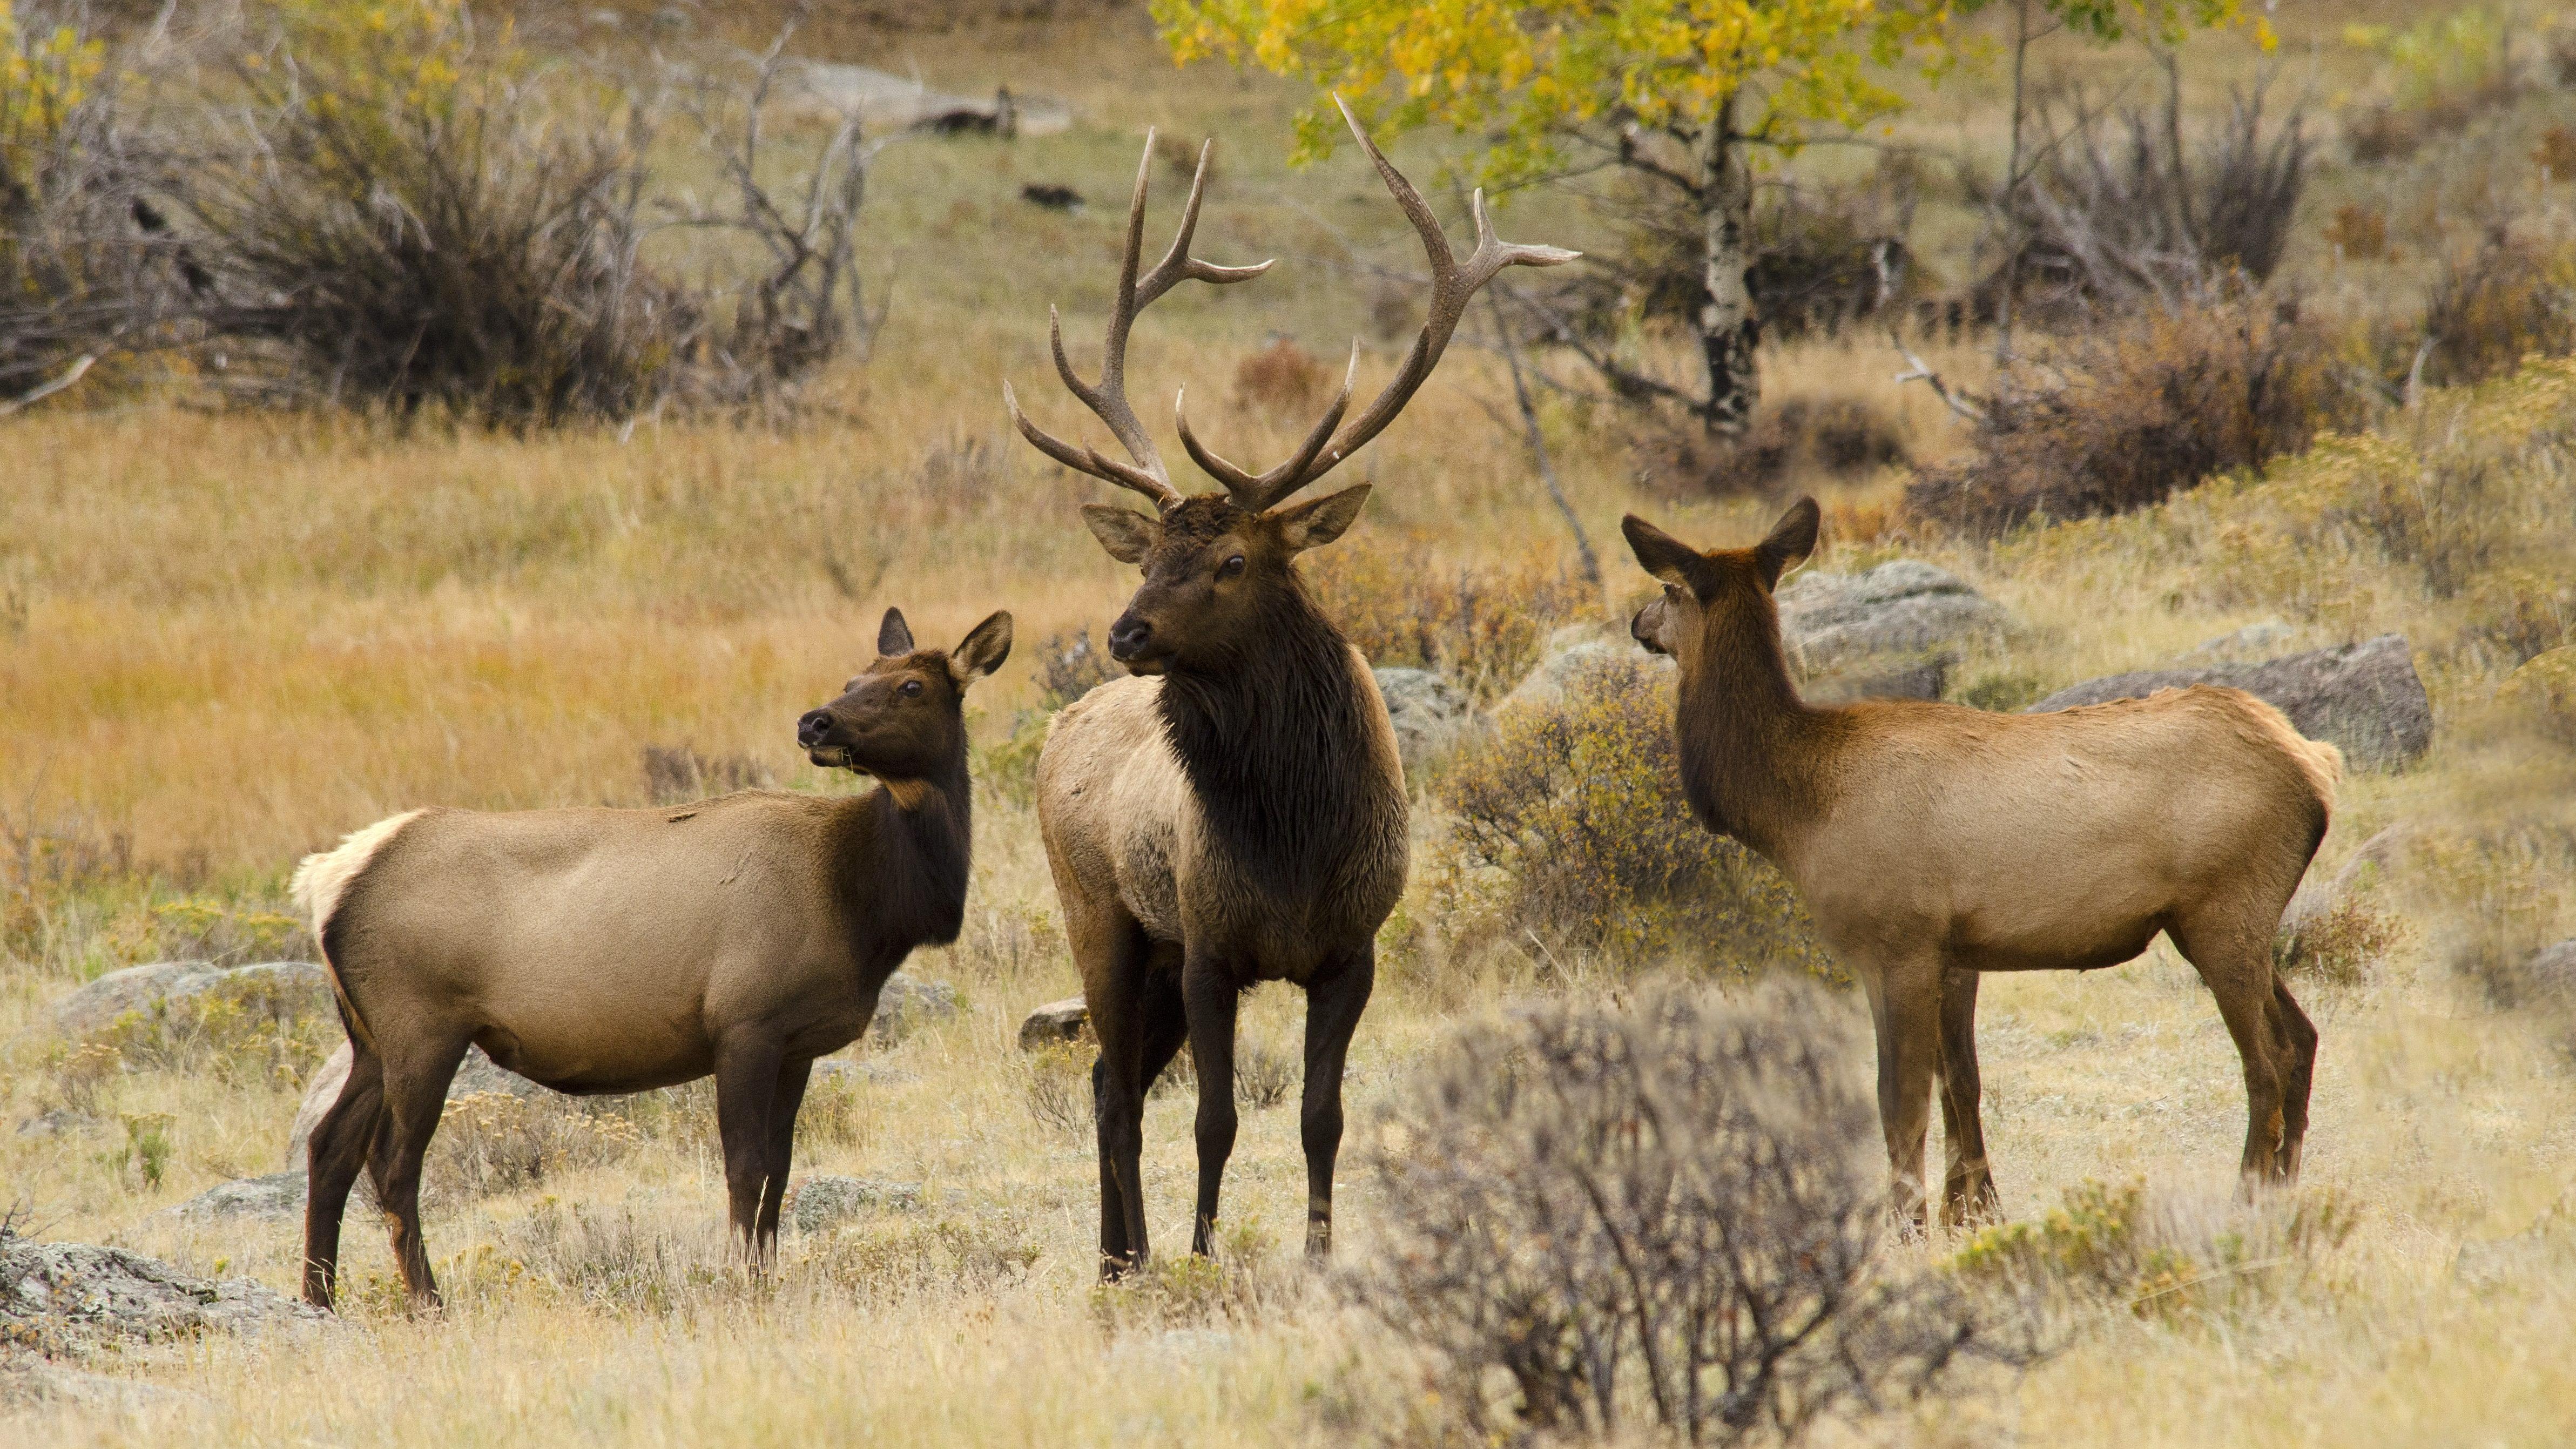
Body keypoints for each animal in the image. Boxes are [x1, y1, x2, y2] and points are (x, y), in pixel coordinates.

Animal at [288, 607, 1011, 1310]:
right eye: (855, 677)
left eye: (909, 685)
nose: (815, 722)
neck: (864, 906)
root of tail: (326, 881)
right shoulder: (745, 1019)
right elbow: (746, 1166)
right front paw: (744, 1286)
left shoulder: (798, 1042)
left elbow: (780, 1171)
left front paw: (767, 1278)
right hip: (422, 1025)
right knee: (393, 1163)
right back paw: (428, 1301)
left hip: (369, 1037)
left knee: (330, 1146)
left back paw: (320, 1299)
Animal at [1003, 101, 1575, 1277]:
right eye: (1147, 556)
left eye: (1232, 561)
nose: (1125, 631)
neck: (1295, 843)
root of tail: (1059, 724)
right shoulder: (1213, 945)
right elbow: (1215, 1118)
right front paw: (1203, 1253)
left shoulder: (1352, 951)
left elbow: (1323, 1116)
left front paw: (1317, 1256)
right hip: (1105, 919)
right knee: (1117, 1090)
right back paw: (1127, 1259)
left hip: (1155, 951)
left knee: (1107, 1076)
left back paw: (1118, 1254)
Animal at [1621, 499, 2340, 1225]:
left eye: (1668, 588)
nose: (1637, 624)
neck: (1798, 809)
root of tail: (2317, 768)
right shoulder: (1956, 949)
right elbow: (1960, 1081)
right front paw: (1972, 1210)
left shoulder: (1897, 941)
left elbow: (1899, 1099)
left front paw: (1908, 1225)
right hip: (2218, 922)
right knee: (2305, 1038)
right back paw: (2286, 1191)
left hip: (2225, 906)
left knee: (2269, 1058)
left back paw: (2246, 1197)